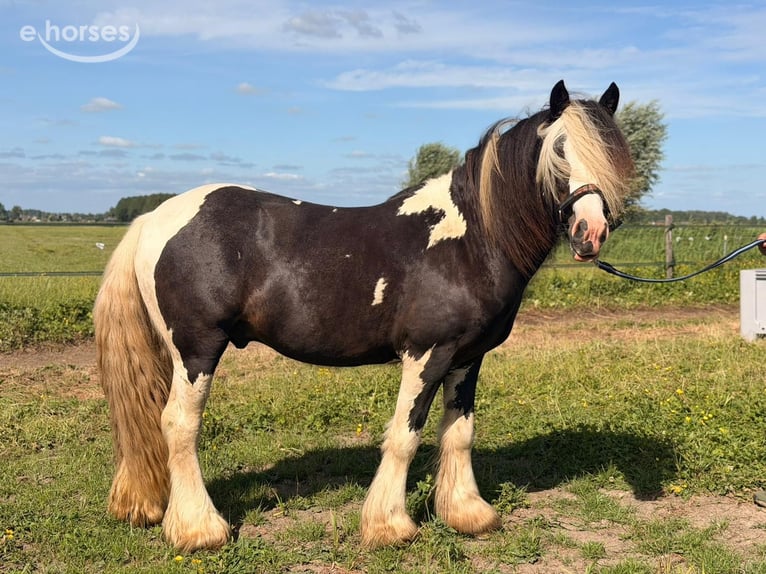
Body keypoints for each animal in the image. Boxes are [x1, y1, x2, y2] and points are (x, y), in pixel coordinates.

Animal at [94, 80, 634, 552]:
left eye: (614, 153)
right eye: (558, 151)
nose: (590, 233)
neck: (471, 238)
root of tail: (154, 218)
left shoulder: (467, 358)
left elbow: (458, 433)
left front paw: (467, 514)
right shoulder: (427, 354)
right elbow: (405, 436)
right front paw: (389, 526)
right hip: (197, 349)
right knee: (179, 426)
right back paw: (199, 530)